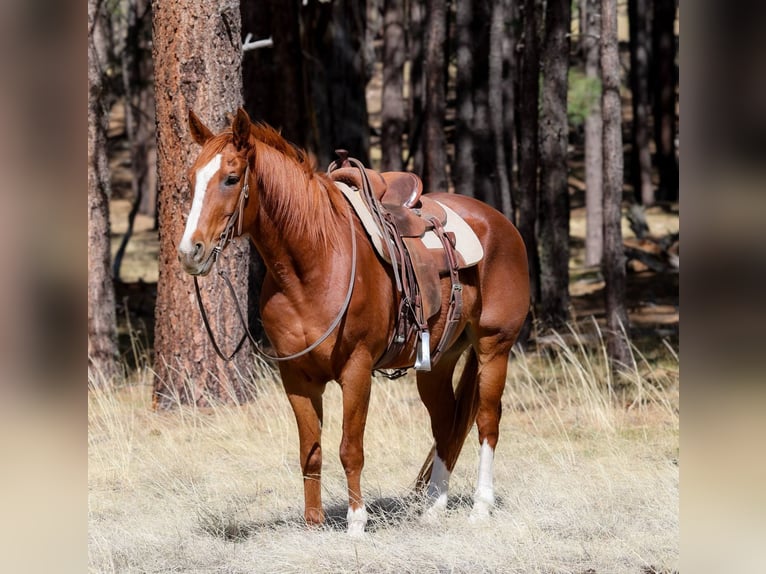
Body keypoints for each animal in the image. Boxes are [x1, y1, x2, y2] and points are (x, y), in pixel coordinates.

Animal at [178, 107, 530, 536]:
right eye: (191, 179)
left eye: (231, 178)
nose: (190, 252)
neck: (315, 263)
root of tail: (501, 223)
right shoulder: (296, 377)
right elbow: (310, 450)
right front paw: (312, 523)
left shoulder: (356, 369)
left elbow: (351, 448)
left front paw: (356, 522)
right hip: (438, 361)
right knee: (446, 423)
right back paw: (433, 506)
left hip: (494, 347)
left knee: (486, 421)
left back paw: (481, 507)